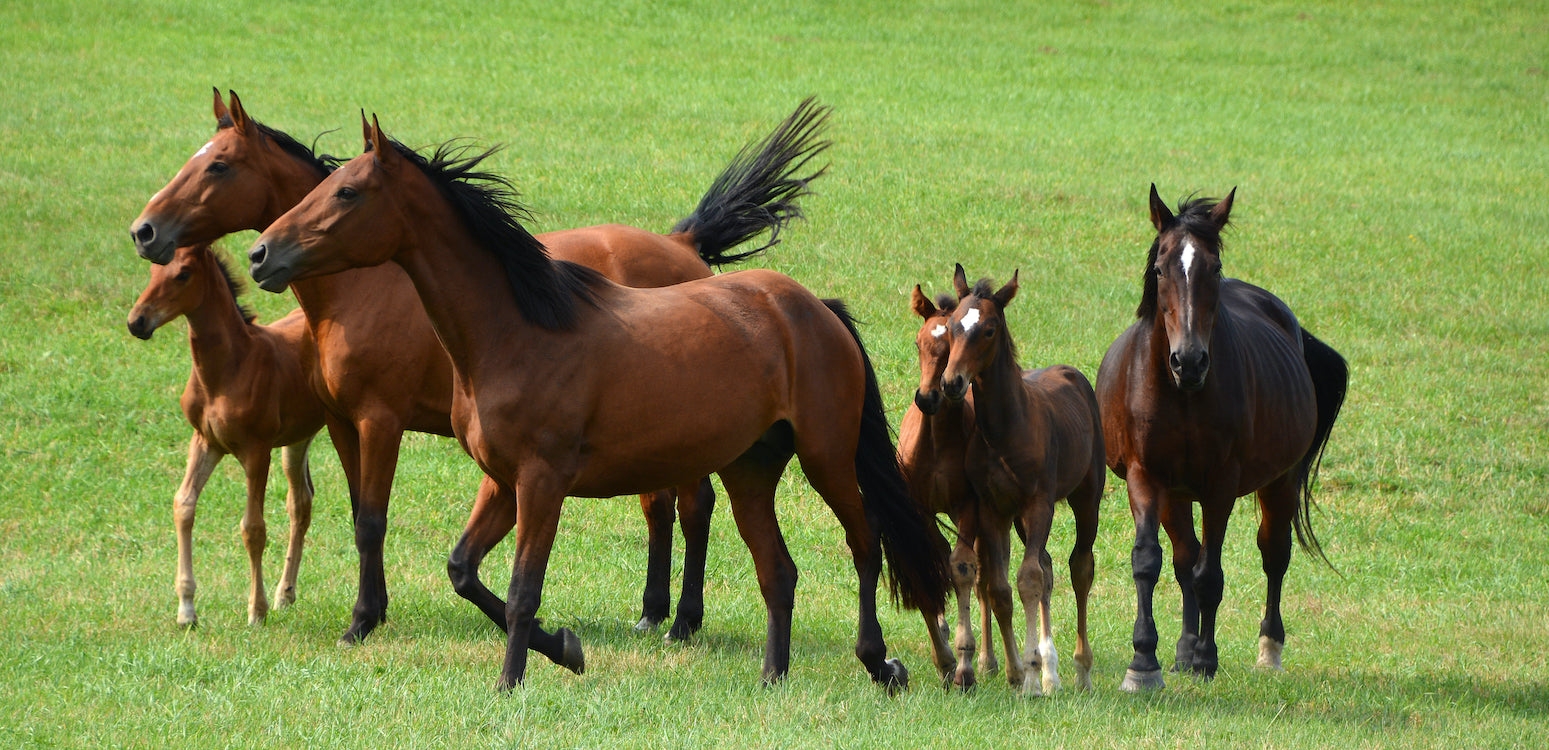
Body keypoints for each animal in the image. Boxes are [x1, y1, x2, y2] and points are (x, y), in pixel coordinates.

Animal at [127, 243, 329, 629]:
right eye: (151, 271)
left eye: (183, 274)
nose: (137, 322)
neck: (229, 368)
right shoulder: (205, 442)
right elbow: (183, 505)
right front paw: (186, 609)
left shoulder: (256, 450)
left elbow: (253, 528)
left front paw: (256, 611)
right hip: (298, 436)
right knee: (301, 502)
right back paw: (285, 594)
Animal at [247, 116, 947, 691]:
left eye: (347, 192)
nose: (260, 254)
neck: (517, 330)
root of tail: (813, 308)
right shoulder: (501, 481)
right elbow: (465, 570)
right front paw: (564, 648)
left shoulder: (541, 481)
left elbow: (523, 589)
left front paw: (513, 680)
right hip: (749, 470)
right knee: (778, 570)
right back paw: (773, 675)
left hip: (826, 457)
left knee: (865, 542)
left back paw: (881, 663)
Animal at [923, 264, 1109, 697]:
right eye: (953, 326)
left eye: (989, 329)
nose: (952, 383)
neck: (1006, 430)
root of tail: (1071, 374)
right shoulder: (994, 508)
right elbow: (1002, 588)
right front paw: (1025, 672)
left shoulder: (1038, 504)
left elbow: (1028, 579)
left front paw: (1029, 676)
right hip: (1022, 520)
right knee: (1049, 565)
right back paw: (1052, 670)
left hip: (1085, 497)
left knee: (1079, 568)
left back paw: (1080, 670)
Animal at [1102, 185, 1344, 691]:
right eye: (1160, 269)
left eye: (1213, 268)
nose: (1189, 360)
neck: (1183, 395)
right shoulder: (1145, 477)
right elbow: (1149, 562)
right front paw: (1144, 663)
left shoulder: (1220, 486)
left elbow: (1209, 574)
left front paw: (1206, 659)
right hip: (1176, 494)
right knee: (1182, 560)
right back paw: (1181, 651)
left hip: (1279, 481)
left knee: (1273, 554)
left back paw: (1267, 650)